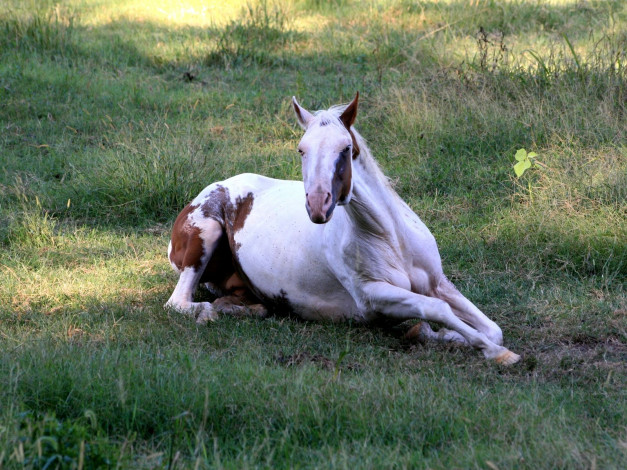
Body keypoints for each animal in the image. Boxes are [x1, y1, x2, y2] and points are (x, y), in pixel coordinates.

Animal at [164, 91, 524, 364]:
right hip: (205, 234)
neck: (389, 238)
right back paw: (205, 312)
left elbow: (489, 326)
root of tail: (213, 188)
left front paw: (443, 335)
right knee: (178, 302)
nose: (317, 205)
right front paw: (499, 354)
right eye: (301, 149)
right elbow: (437, 309)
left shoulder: (438, 282)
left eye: (345, 149)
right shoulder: (372, 297)